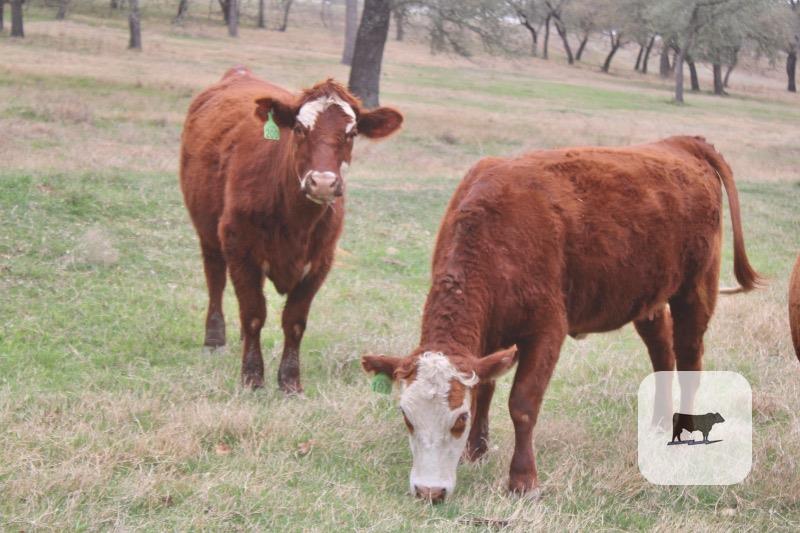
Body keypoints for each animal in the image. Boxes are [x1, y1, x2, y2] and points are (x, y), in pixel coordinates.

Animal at [180, 67, 402, 392]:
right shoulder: (239, 247)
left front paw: (290, 382)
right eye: (299, 128)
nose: (323, 183)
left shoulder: (321, 260)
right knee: (216, 281)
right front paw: (252, 377)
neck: (295, 219)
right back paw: (214, 340)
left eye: (351, 133)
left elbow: (294, 321)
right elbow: (253, 314)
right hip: (208, 232)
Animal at [361, 136, 761, 502]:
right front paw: (476, 451)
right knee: (661, 349)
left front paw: (522, 480)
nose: (429, 490)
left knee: (690, 357)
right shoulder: (490, 339)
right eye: (406, 416)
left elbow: (522, 404)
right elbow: (487, 390)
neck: (493, 236)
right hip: (647, 294)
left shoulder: (547, 328)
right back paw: (662, 423)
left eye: (459, 418)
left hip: (696, 288)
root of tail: (682, 142)